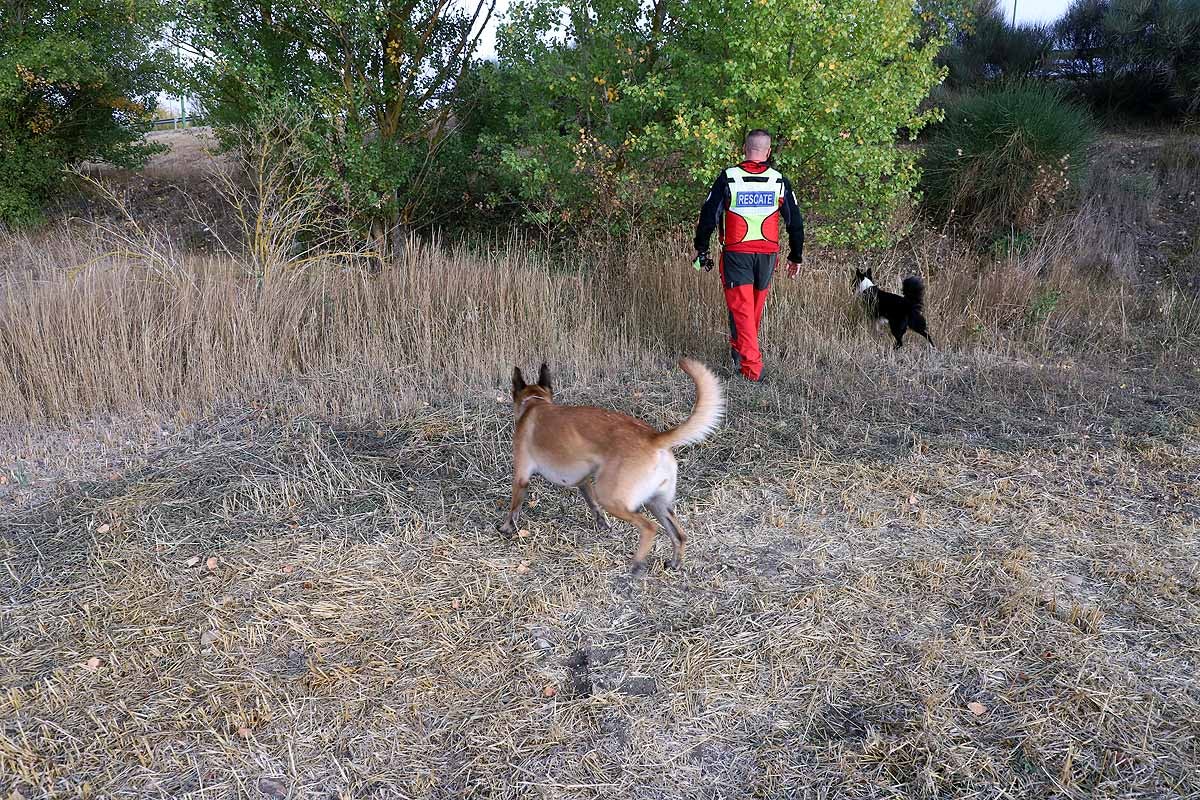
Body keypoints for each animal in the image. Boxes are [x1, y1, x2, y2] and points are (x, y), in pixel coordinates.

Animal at [496, 357, 720, 575]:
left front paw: (506, 528)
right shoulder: (584, 482)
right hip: (658, 503)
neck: (535, 403)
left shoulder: (521, 477)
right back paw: (675, 564)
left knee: (649, 528)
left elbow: (514, 508)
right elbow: (593, 506)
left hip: (613, 498)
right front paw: (603, 525)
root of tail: (653, 438)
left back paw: (636, 565)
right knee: (679, 535)